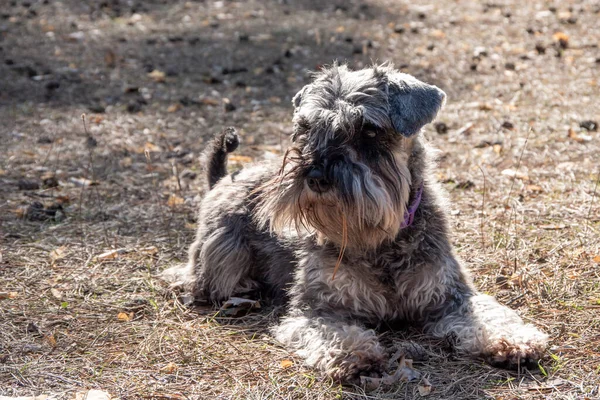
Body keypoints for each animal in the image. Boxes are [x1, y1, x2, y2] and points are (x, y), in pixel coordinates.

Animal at [164, 63, 548, 384]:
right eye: (306, 128)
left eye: (369, 131)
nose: (316, 176)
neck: (380, 239)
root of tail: (222, 180)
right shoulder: (318, 309)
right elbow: (334, 332)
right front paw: (354, 354)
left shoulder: (450, 294)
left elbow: (488, 313)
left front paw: (512, 339)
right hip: (220, 257)